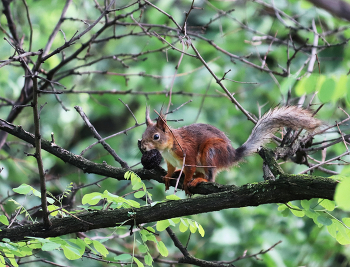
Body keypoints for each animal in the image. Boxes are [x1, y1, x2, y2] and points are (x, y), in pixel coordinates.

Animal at [140, 105, 322, 196]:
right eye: (143, 134)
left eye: (156, 136)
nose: (142, 146)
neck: (167, 149)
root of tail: (230, 155)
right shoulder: (170, 160)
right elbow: (170, 169)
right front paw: (168, 176)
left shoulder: (187, 152)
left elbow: (190, 167)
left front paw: (186, 182)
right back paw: (182, 173)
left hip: (211, 152)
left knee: (210, 176)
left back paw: (199, 180)